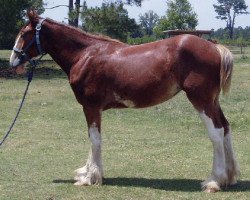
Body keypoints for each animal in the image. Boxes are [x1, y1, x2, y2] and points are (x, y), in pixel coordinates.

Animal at [10, 10, 240, 192]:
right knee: (226, 128)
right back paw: (229, 177)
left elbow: (95, 139)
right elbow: (92, 138)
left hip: (200, 99)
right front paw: (87, 172)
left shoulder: (90, 107)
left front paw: (90, 177)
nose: (13, 62)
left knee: (216, 132)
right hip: (212, 101)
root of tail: (213, 47)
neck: (84, 55)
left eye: (23, 33)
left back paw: (214, 181)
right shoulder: (93, 109)